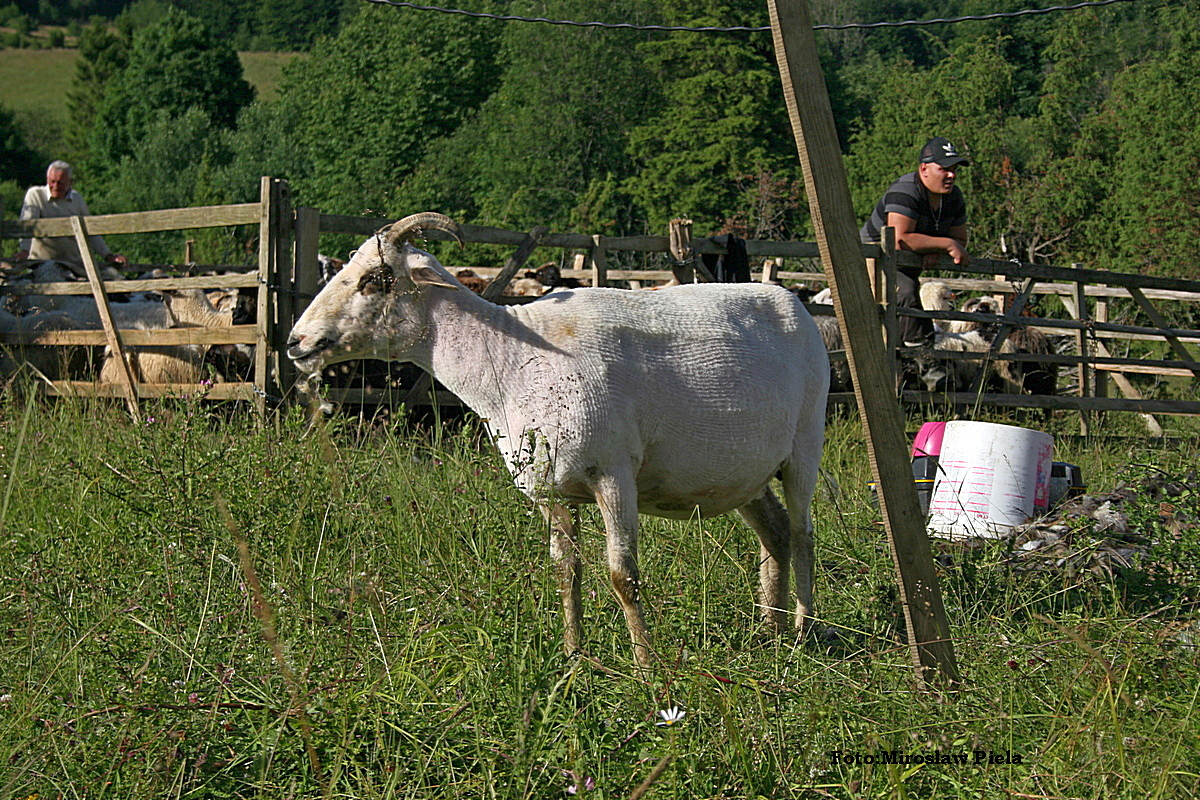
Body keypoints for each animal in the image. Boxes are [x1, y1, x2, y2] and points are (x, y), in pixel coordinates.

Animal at [288, 212, 835, 671]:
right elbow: (565, 571)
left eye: (375, 279)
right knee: (775, 533)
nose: (295, 342)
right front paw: (574, 658)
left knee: (804, 533)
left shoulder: (614, 474)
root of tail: (792, 299)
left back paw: (802, 631)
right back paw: (769, 630)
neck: (507, 362)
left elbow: (623, 577)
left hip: (806, 443)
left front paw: (646, 668)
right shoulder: (549, 488)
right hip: (743, 472)